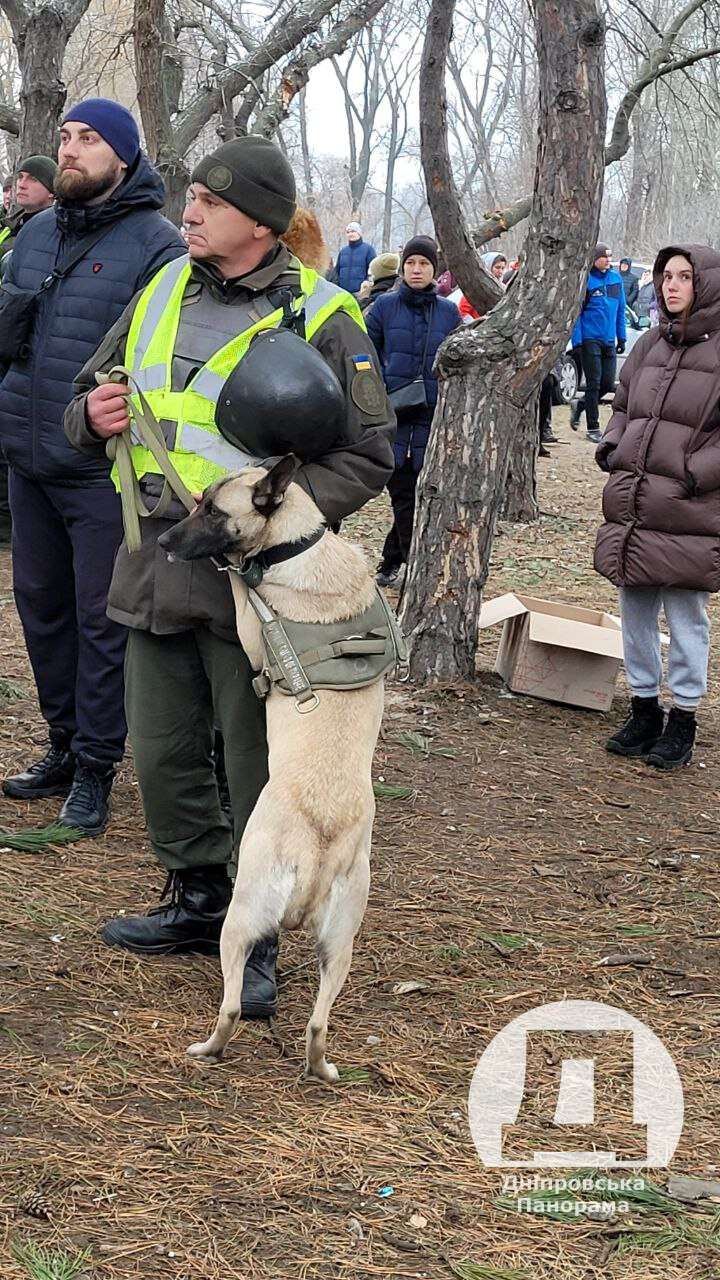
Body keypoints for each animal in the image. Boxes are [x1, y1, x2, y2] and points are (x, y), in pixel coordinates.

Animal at [156, 460, 386, 1080]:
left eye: (214, 512)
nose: (162, 541)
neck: (298, 544)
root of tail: (318, 850)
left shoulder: (254, 633)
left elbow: (241, 587)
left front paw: (233, 567)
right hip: (341, 947)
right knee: (318, 1023)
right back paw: (320, 1068)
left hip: (239, 921)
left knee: (233, 1007)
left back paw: (207, 1050)